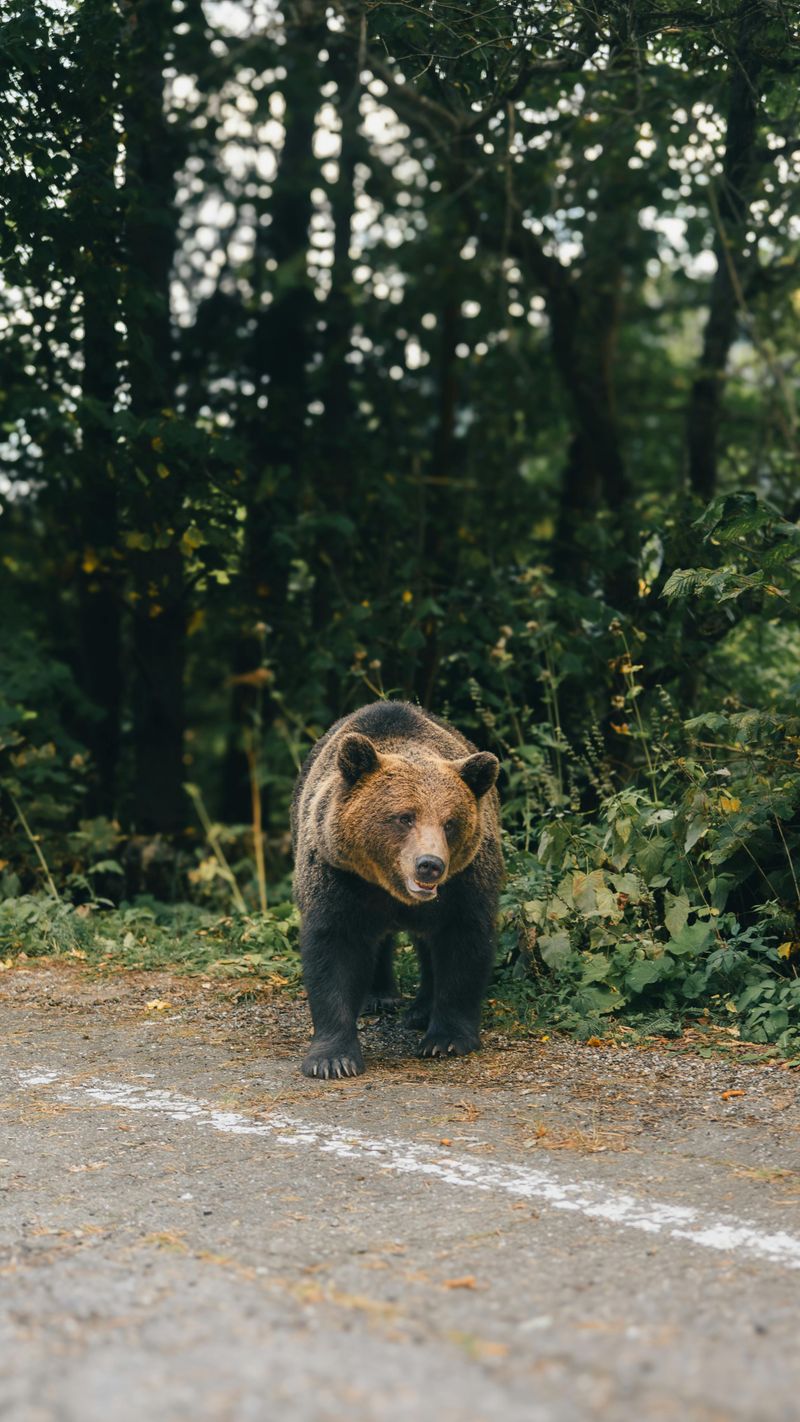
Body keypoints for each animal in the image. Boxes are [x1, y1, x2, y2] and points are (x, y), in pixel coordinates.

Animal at [291, 700, 502, 1079]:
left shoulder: (464, 884)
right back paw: (379, 996)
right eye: (405, 817)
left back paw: (420, 1011)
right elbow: (334, 950)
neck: (390, 887)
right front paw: (332, 1059)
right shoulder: (339, 877)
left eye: (450, 822)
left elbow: (463, 945)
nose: (430, 864)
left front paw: (446, 1039)